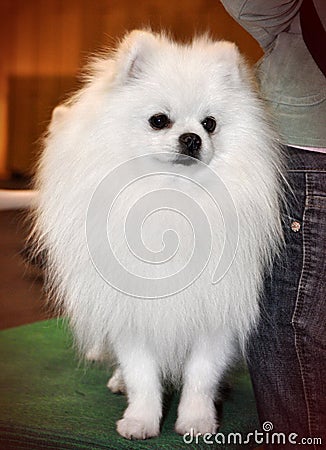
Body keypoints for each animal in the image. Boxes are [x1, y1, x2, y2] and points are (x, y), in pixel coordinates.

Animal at [31, 31, 284, 440]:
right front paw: (140, 420)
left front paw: (197, 421)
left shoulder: (213, 315)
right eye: (159, 121)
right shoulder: (133, 314)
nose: (192, 138)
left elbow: (201, 375)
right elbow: (141, 376)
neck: (172, 200)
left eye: (210, 123)